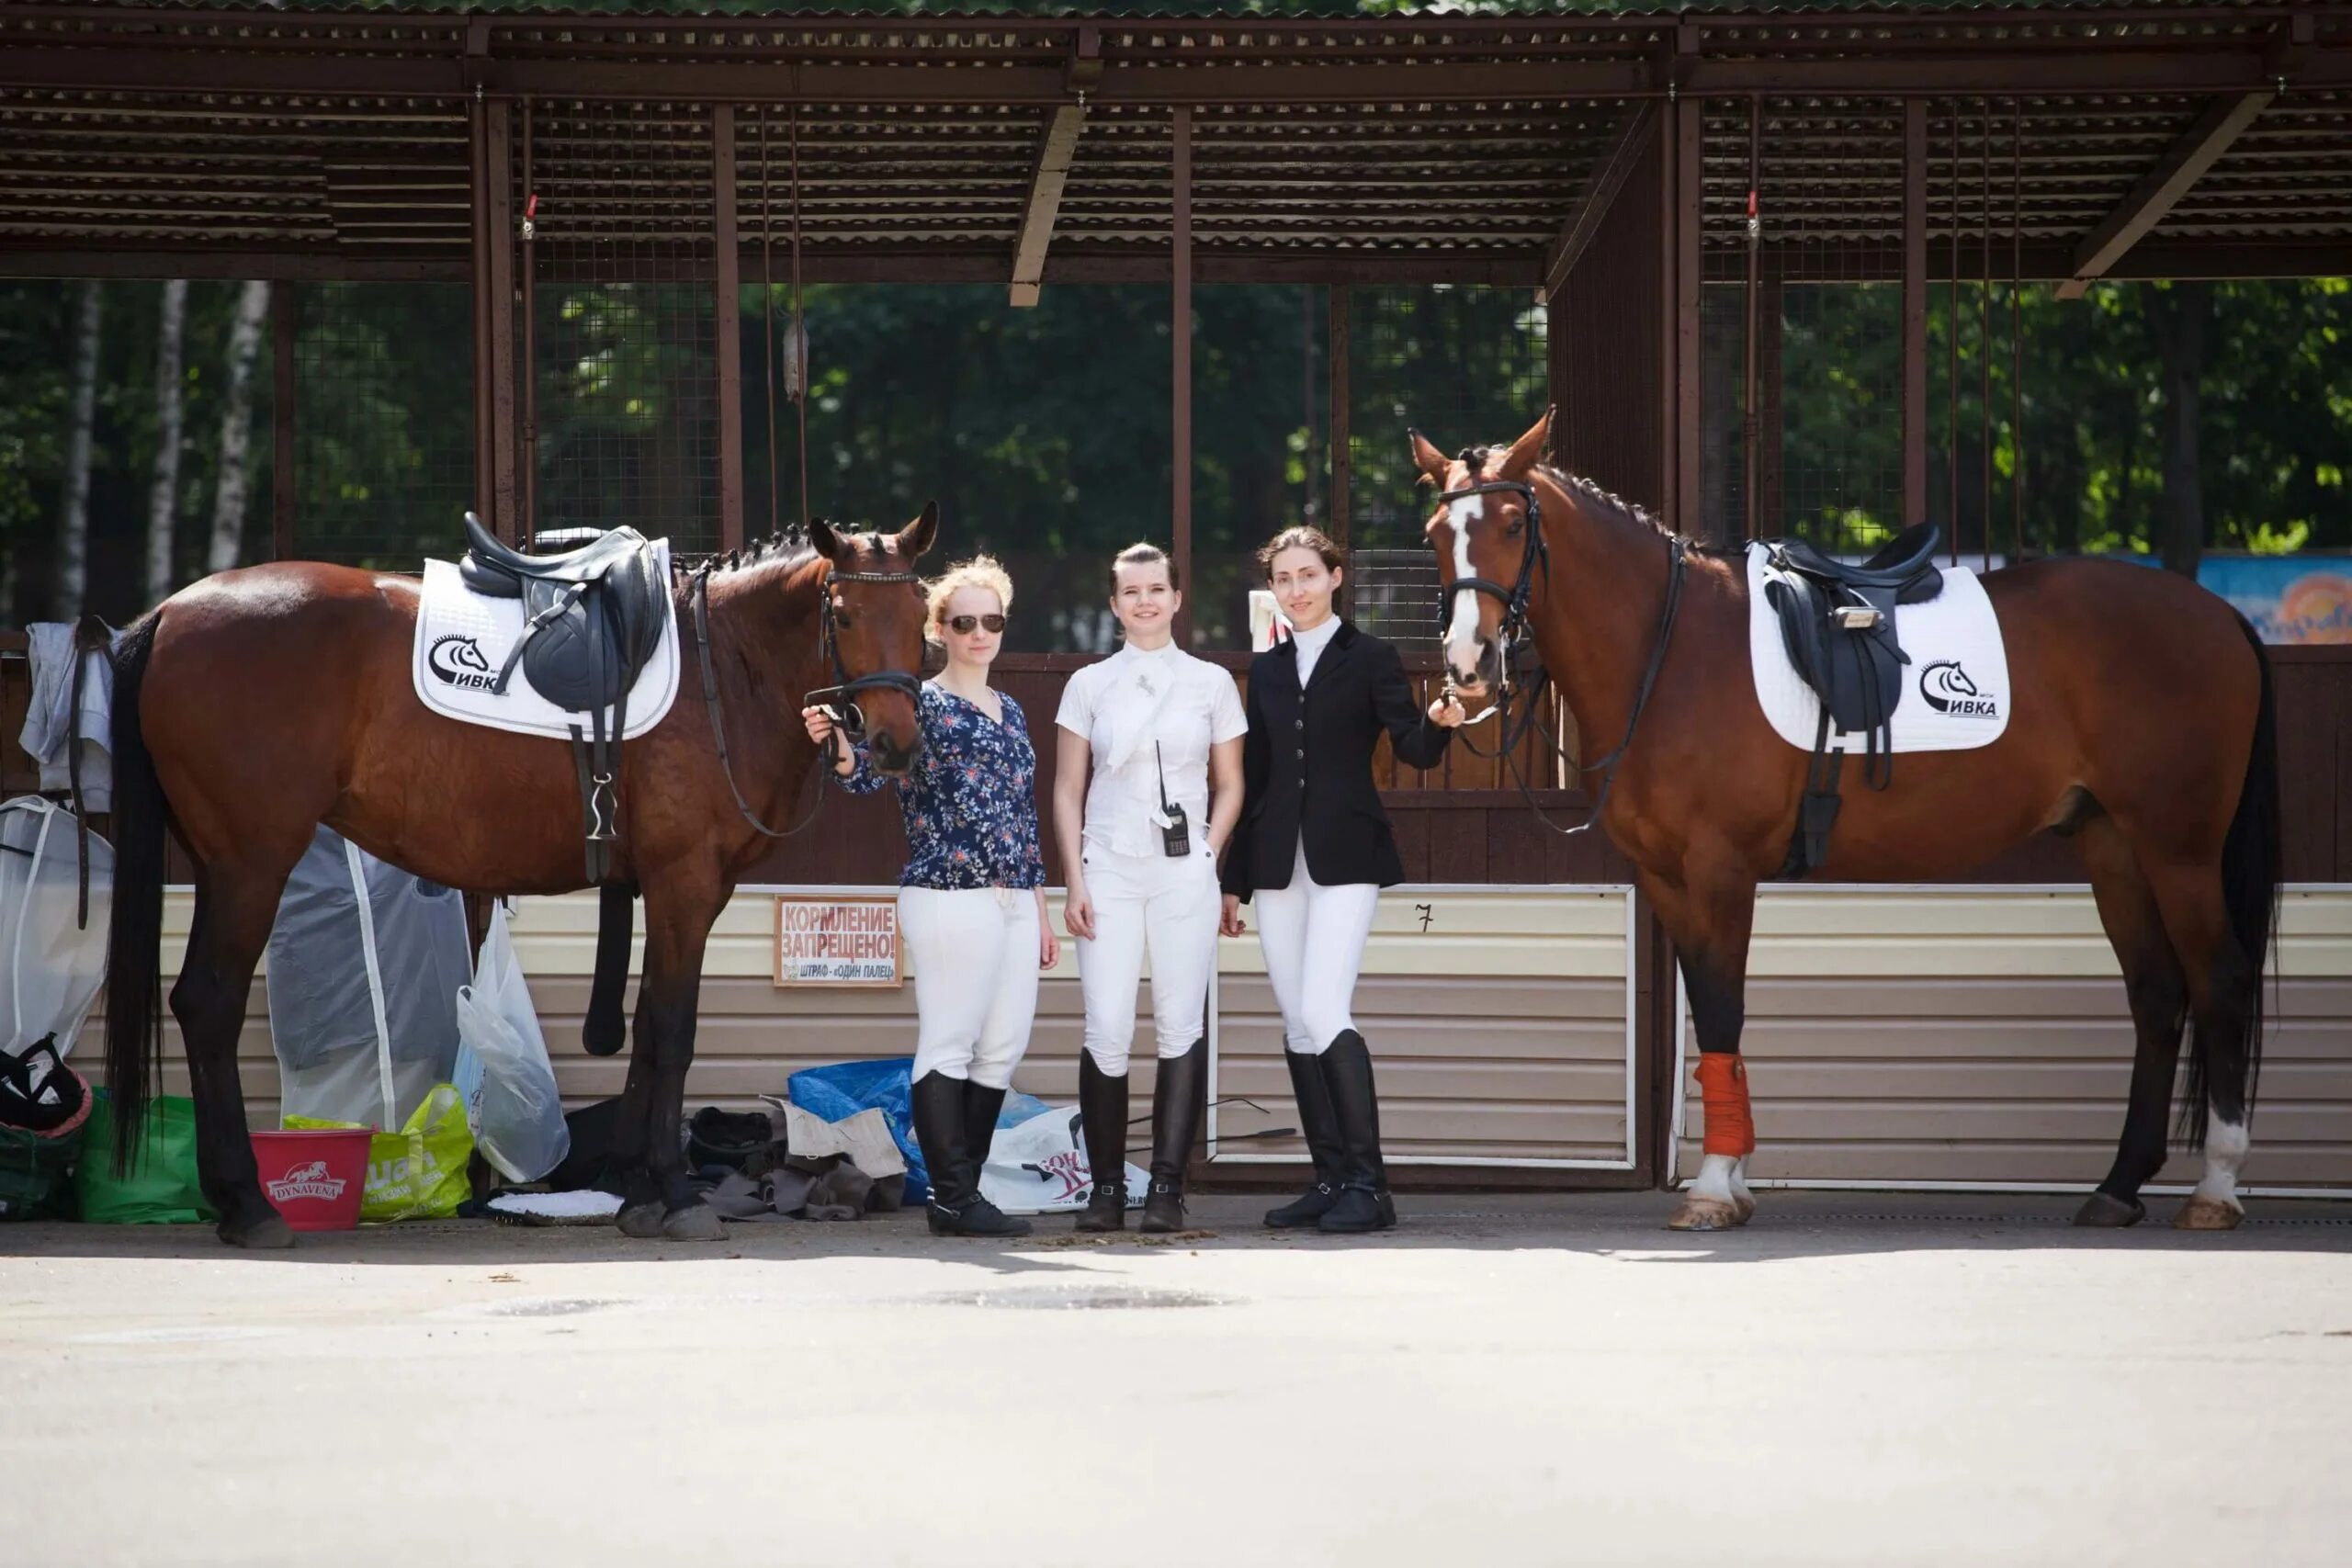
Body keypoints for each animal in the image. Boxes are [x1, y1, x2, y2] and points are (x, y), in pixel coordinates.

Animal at [106, 510, 935, 1241]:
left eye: (920, 609)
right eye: (844, 614)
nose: (895, 742)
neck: (725, 663)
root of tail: (169, 613)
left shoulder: (672, 890)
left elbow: (644, 1031)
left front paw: (638, 1192)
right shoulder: (685, 884)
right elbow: (672, 1030)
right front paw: (672, 1190)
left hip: (219, 865)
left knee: (195, 1002)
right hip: (252, 864)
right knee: (210, 1003)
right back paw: (249, 1204)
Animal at [1411, 411, 2277, 1232]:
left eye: (1513, 525)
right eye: (1436, 533)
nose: (1468, 665)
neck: (1671, 649)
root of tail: (2219, 616)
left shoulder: (1721, 869)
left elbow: (1722, 1008)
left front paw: (1715, 1187)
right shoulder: (1664, 879)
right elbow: (1712, 1017)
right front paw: (1732, 1178)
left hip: (2179, 849)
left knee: (2220, 980)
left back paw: (2216, 1186)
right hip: (2114, 846)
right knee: (2157, 993)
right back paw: (2119, 1185)